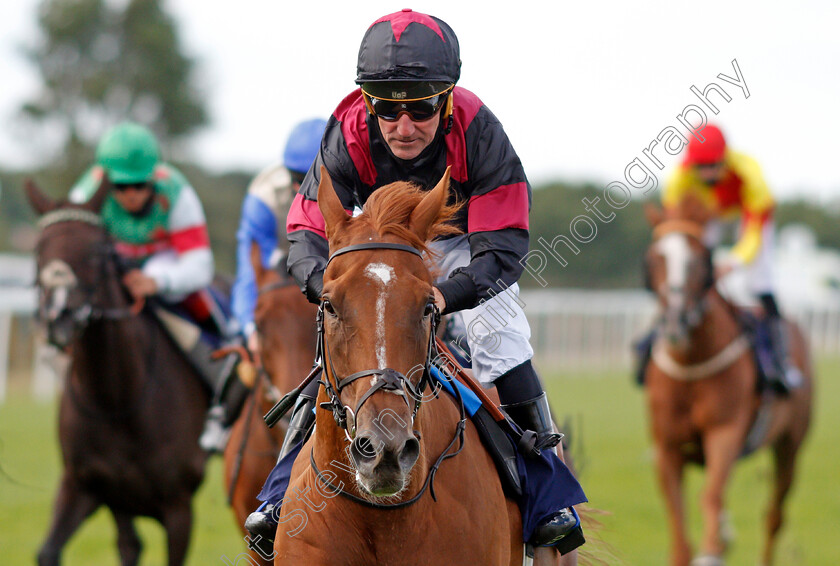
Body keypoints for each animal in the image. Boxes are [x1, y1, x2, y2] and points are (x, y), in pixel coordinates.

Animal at [27, 182, 210, 566]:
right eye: (38, 249)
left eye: (97, 251)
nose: (58, 317)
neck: (116, 400)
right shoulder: (85, 485)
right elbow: (49, 552)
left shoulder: (179, 506)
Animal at [644, 204, 812, 566]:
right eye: (654, 258)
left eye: (700, 258)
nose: (675, 320)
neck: (691, 364)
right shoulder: (667, 447)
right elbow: (679, 526)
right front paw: (711, 541)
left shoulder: (726, 432)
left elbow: (711, 495)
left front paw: (711, 552)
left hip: (790, 445)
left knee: (773, 516)